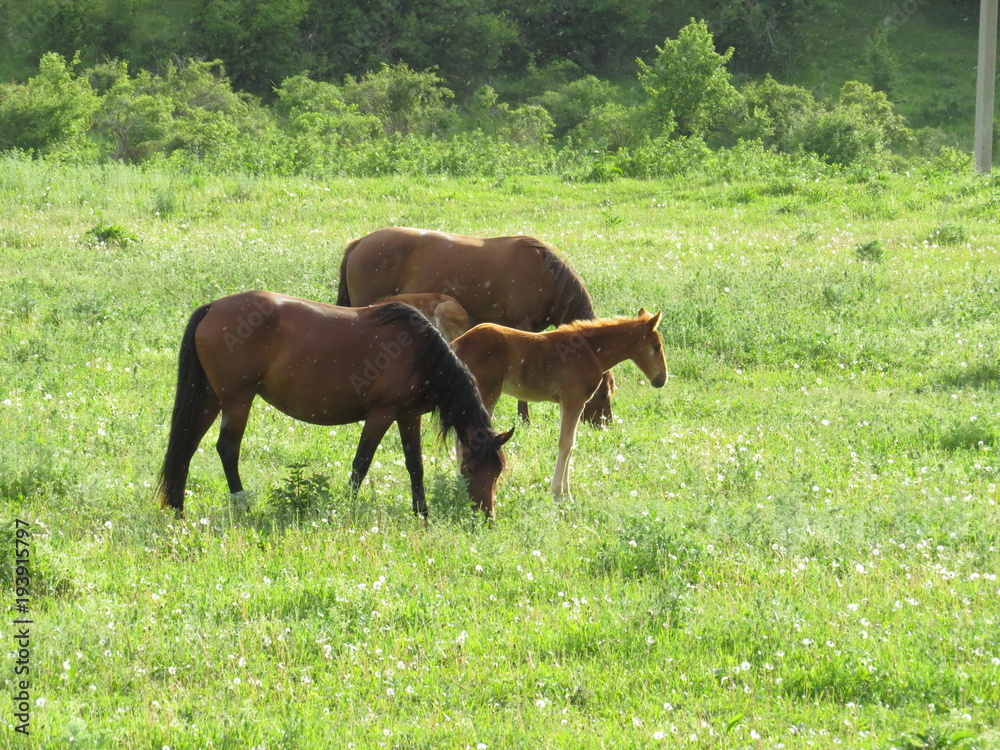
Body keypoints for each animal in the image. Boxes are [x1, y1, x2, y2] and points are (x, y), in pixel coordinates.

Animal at [158, 290, 516, 520]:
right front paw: (347, 509)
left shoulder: (407, 417)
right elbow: (361, 464)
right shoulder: (381, 415)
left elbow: (415, 465)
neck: (422, 353)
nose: (487, 518)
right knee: (228, 449)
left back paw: (177, 509)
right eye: (469, 469)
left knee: (187, 444)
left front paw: (422, 513)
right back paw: (243, 506)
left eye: (498, 471)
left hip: (209, 396)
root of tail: (212, 307)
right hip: (236, 399)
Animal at [340, 226, 612, 428]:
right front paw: (524, 418)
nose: (604, 425)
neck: (545, 276)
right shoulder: (523, 329)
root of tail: (360, 242)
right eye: (604, 393)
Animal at [454, 308, 664, 502]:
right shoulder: (574, 400)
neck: (591, 352)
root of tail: (459, 343)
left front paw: (563, 491)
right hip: (487, 394)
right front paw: (561, 494)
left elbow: (569, 444)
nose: (662, 379)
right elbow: (566, 444)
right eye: (656, 347)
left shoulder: (565, 402)